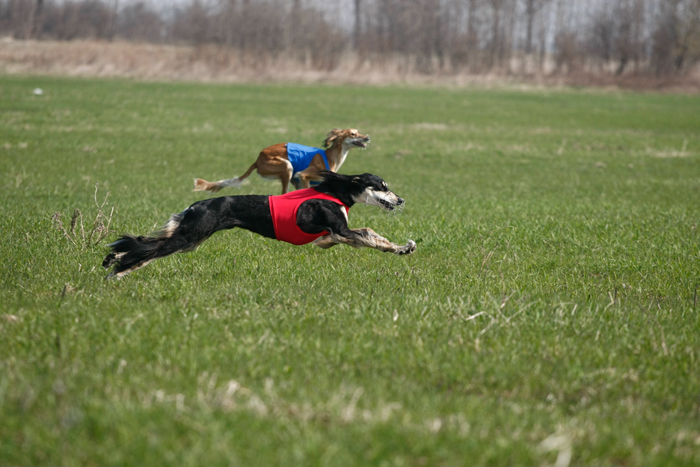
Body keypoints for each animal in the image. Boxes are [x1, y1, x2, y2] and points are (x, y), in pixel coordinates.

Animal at [104, 174, 416, 280]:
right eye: (381, 186)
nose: (401, 199)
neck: (336, 192)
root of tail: (197, 205)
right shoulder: (341, 229)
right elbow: (370, 235)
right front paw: (403, 248)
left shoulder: (334, 234)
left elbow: (337, 240)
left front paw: (404, 247)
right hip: (190, 235)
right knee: (148, 251)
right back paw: (117, 271)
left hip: (191, 238)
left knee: (146, 244)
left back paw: (113, 259)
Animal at [191, 127, 372, 195]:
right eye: (352, 134)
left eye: (359, 131)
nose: (367, 137)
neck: (330, 157)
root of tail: (258, 159)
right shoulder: (303, 176)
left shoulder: (299, 181)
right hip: (286, 166)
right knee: (283, 192)